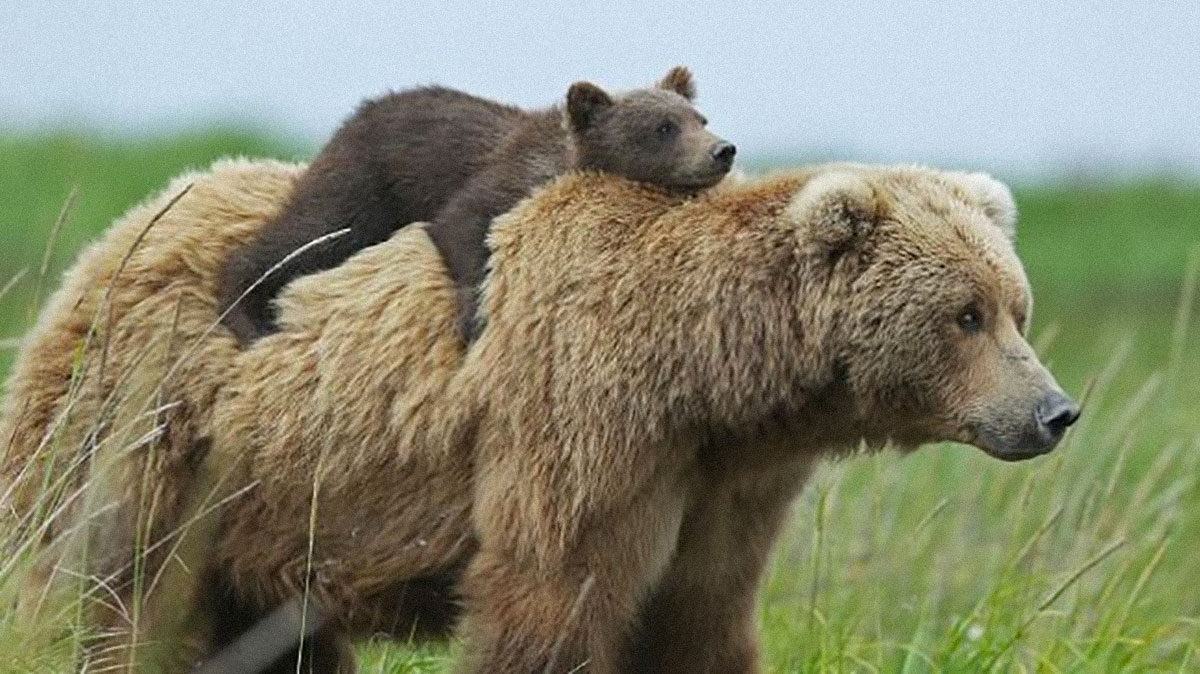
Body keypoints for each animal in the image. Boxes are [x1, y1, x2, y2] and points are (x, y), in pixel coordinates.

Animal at [0, 158, 1080, 671]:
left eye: (1016, 306)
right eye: (966, 313)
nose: (1055, 410)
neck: (708, 379)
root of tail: (116, 234)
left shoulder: (724, 484)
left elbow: (699, 618)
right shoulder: (584, 423)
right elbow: (552, 598)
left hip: (263, 508)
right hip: (148, 428)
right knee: (98, 591)